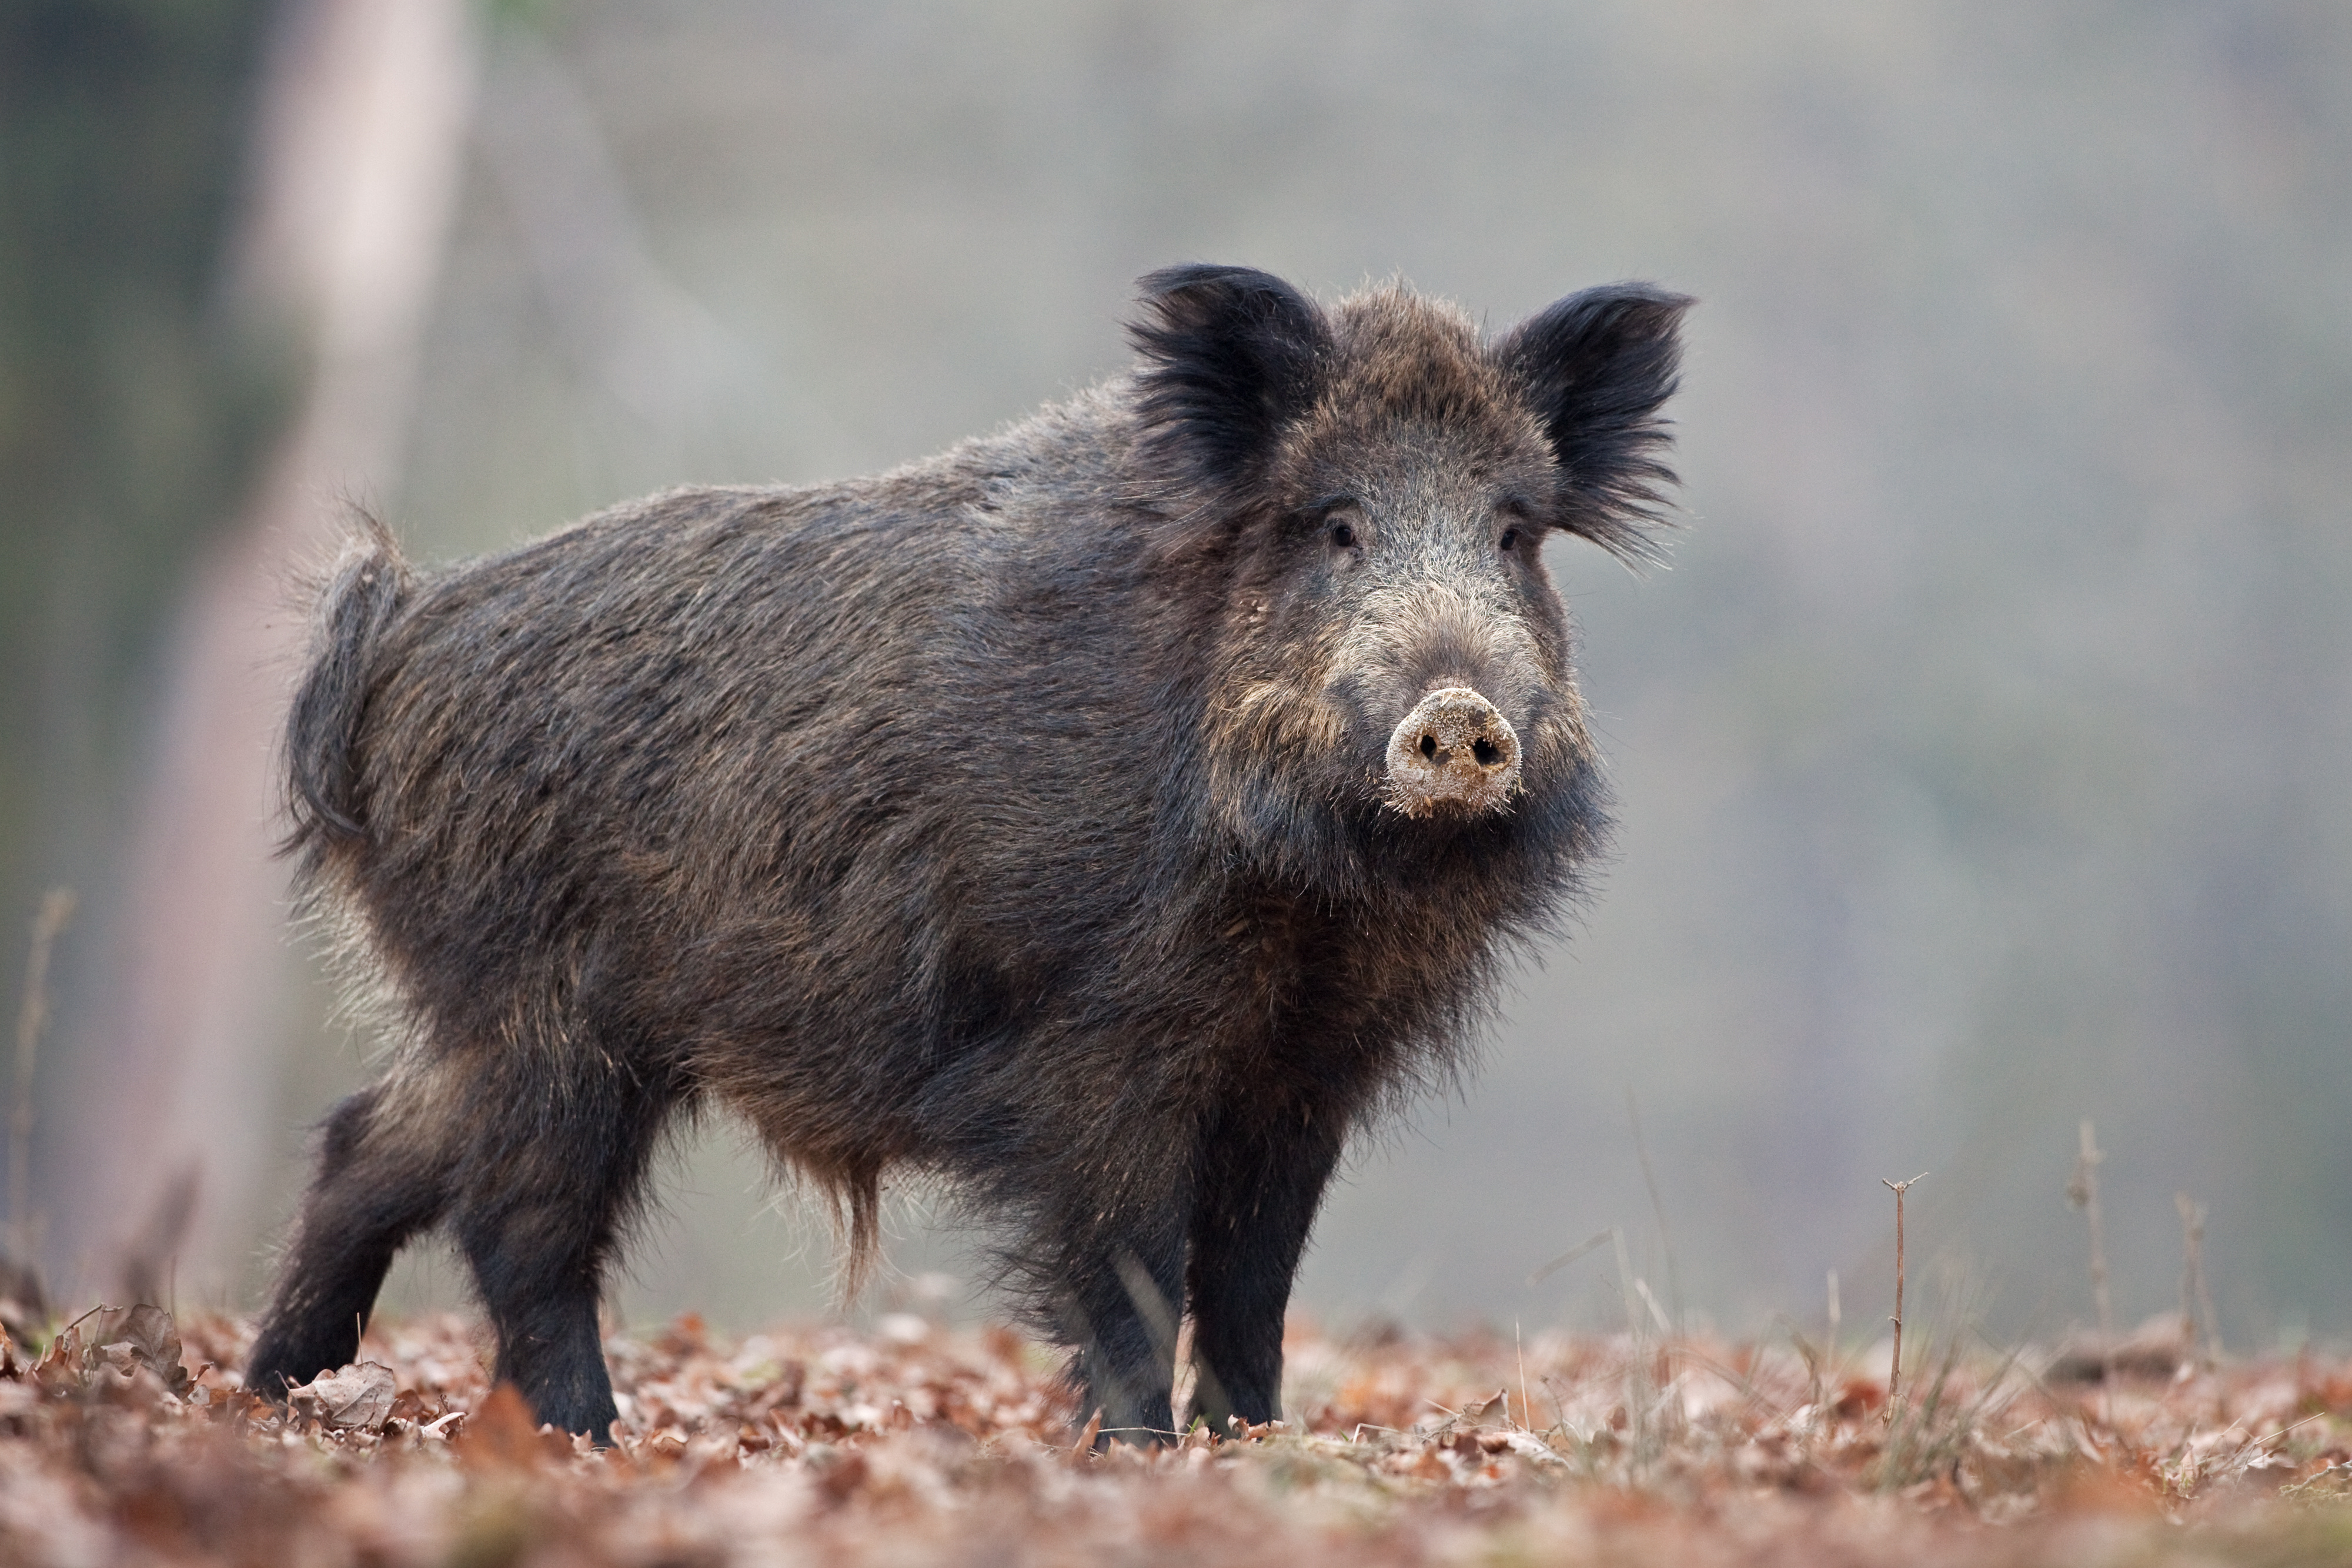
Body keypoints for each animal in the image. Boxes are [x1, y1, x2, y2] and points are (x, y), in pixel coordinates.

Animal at [245, 265, 1691, 1444]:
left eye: (1513, 530)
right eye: (1334, 523)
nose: (1459, 714)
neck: (1309, 902)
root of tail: (398, 630)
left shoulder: (1305, 1070)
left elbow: (1251, 1279)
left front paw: (1252, 1443)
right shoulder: (1099, 1045)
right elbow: (1127, 1267)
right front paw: (1139, 1453)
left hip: (508, 1019)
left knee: (375, 1139)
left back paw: (281, 1392)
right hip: (545, 1015)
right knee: (518, 1224)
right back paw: (586, 1438)